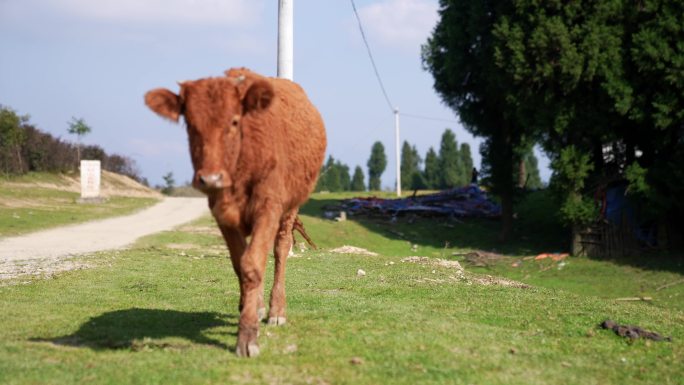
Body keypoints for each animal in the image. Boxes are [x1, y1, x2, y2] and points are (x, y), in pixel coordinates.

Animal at [144, 67, 326, 356]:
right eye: (189, 124)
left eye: (234, 121)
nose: (210, 178)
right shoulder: (221, 214)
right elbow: (241, 265)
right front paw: (250, 310)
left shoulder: (269, 207)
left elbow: (253, 265)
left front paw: (247, 337)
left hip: (289, 208)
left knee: (280, 249)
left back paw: (276, 310)